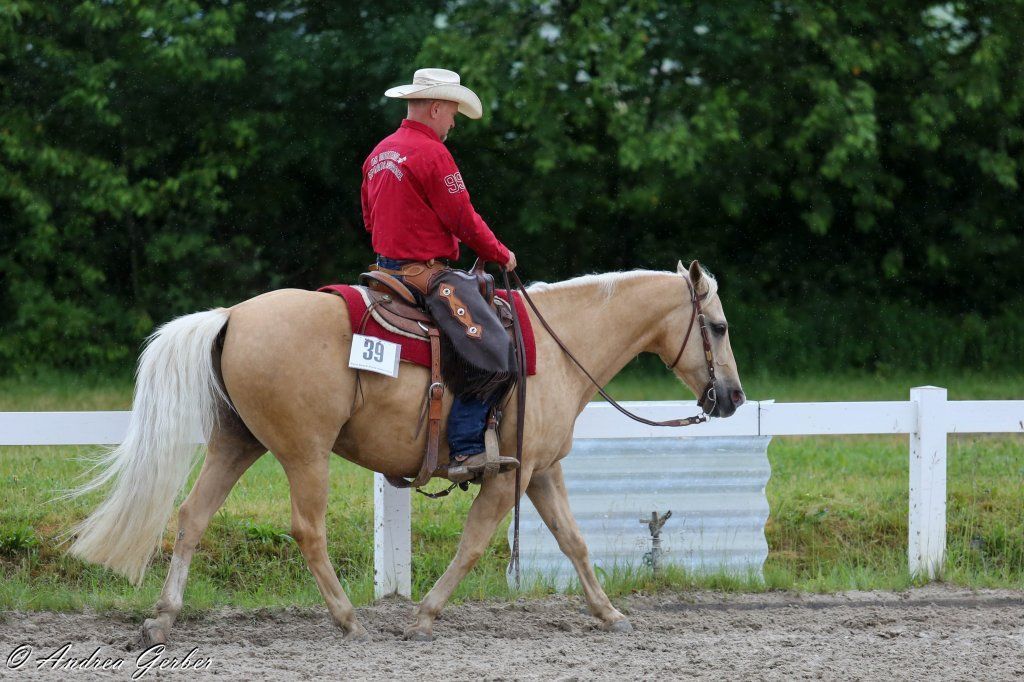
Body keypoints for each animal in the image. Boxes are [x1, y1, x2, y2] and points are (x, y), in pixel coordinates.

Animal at [67, 260, 745, 644]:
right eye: (717, 326)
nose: (733, 397)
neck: (557, 347)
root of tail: (232, 315)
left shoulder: (541, 470)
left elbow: (574, 542)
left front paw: (609, 614)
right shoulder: (509, 476)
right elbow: (473, 544)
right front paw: (424, 616)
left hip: (237, 442)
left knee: (192, 517)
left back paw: (162, 617)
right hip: (304, 453)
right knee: (307, 529)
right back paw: (348, 620)